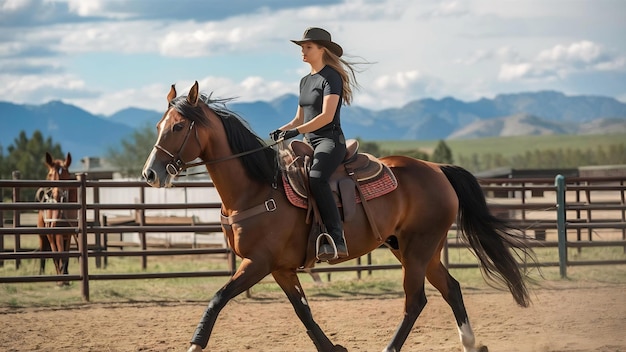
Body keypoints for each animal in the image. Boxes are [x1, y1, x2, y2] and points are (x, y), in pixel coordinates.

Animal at [36, 150, 76, 284]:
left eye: (66, 174)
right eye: (50, 174)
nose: (57, 195)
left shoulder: (69, 233)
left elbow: (66, 255)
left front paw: (66, 278)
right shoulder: (54, 233)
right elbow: (57, 254)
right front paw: (60, 280)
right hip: (43, 236)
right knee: (45, 253)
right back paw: (41, 274)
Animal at [141, 81, 532, 350]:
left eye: (178, 127)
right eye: (160, 124)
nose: (150, 174)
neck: (259, 188)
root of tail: (436, 169)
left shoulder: (258, 262)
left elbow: (218, 297)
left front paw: (195, 343)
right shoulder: (281, 269)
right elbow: (304, 312)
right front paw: (333, 347)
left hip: (418, 250)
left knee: (415, 301)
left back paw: (393, 348)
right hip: (418, 249)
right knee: (451, 288)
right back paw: (471, 343)